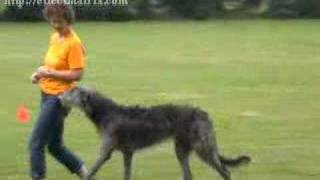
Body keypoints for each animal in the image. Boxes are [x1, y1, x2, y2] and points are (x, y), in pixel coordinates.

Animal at [60, 86, 250, 179]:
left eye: (72, 91)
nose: (60, 96)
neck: (106, 112)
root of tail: (204, 114)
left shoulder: (106, 151)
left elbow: (90, 172)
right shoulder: (127, 153)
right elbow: (126, 174)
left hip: (202, 147)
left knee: (225, 171)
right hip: (181, 148)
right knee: (188, 174)